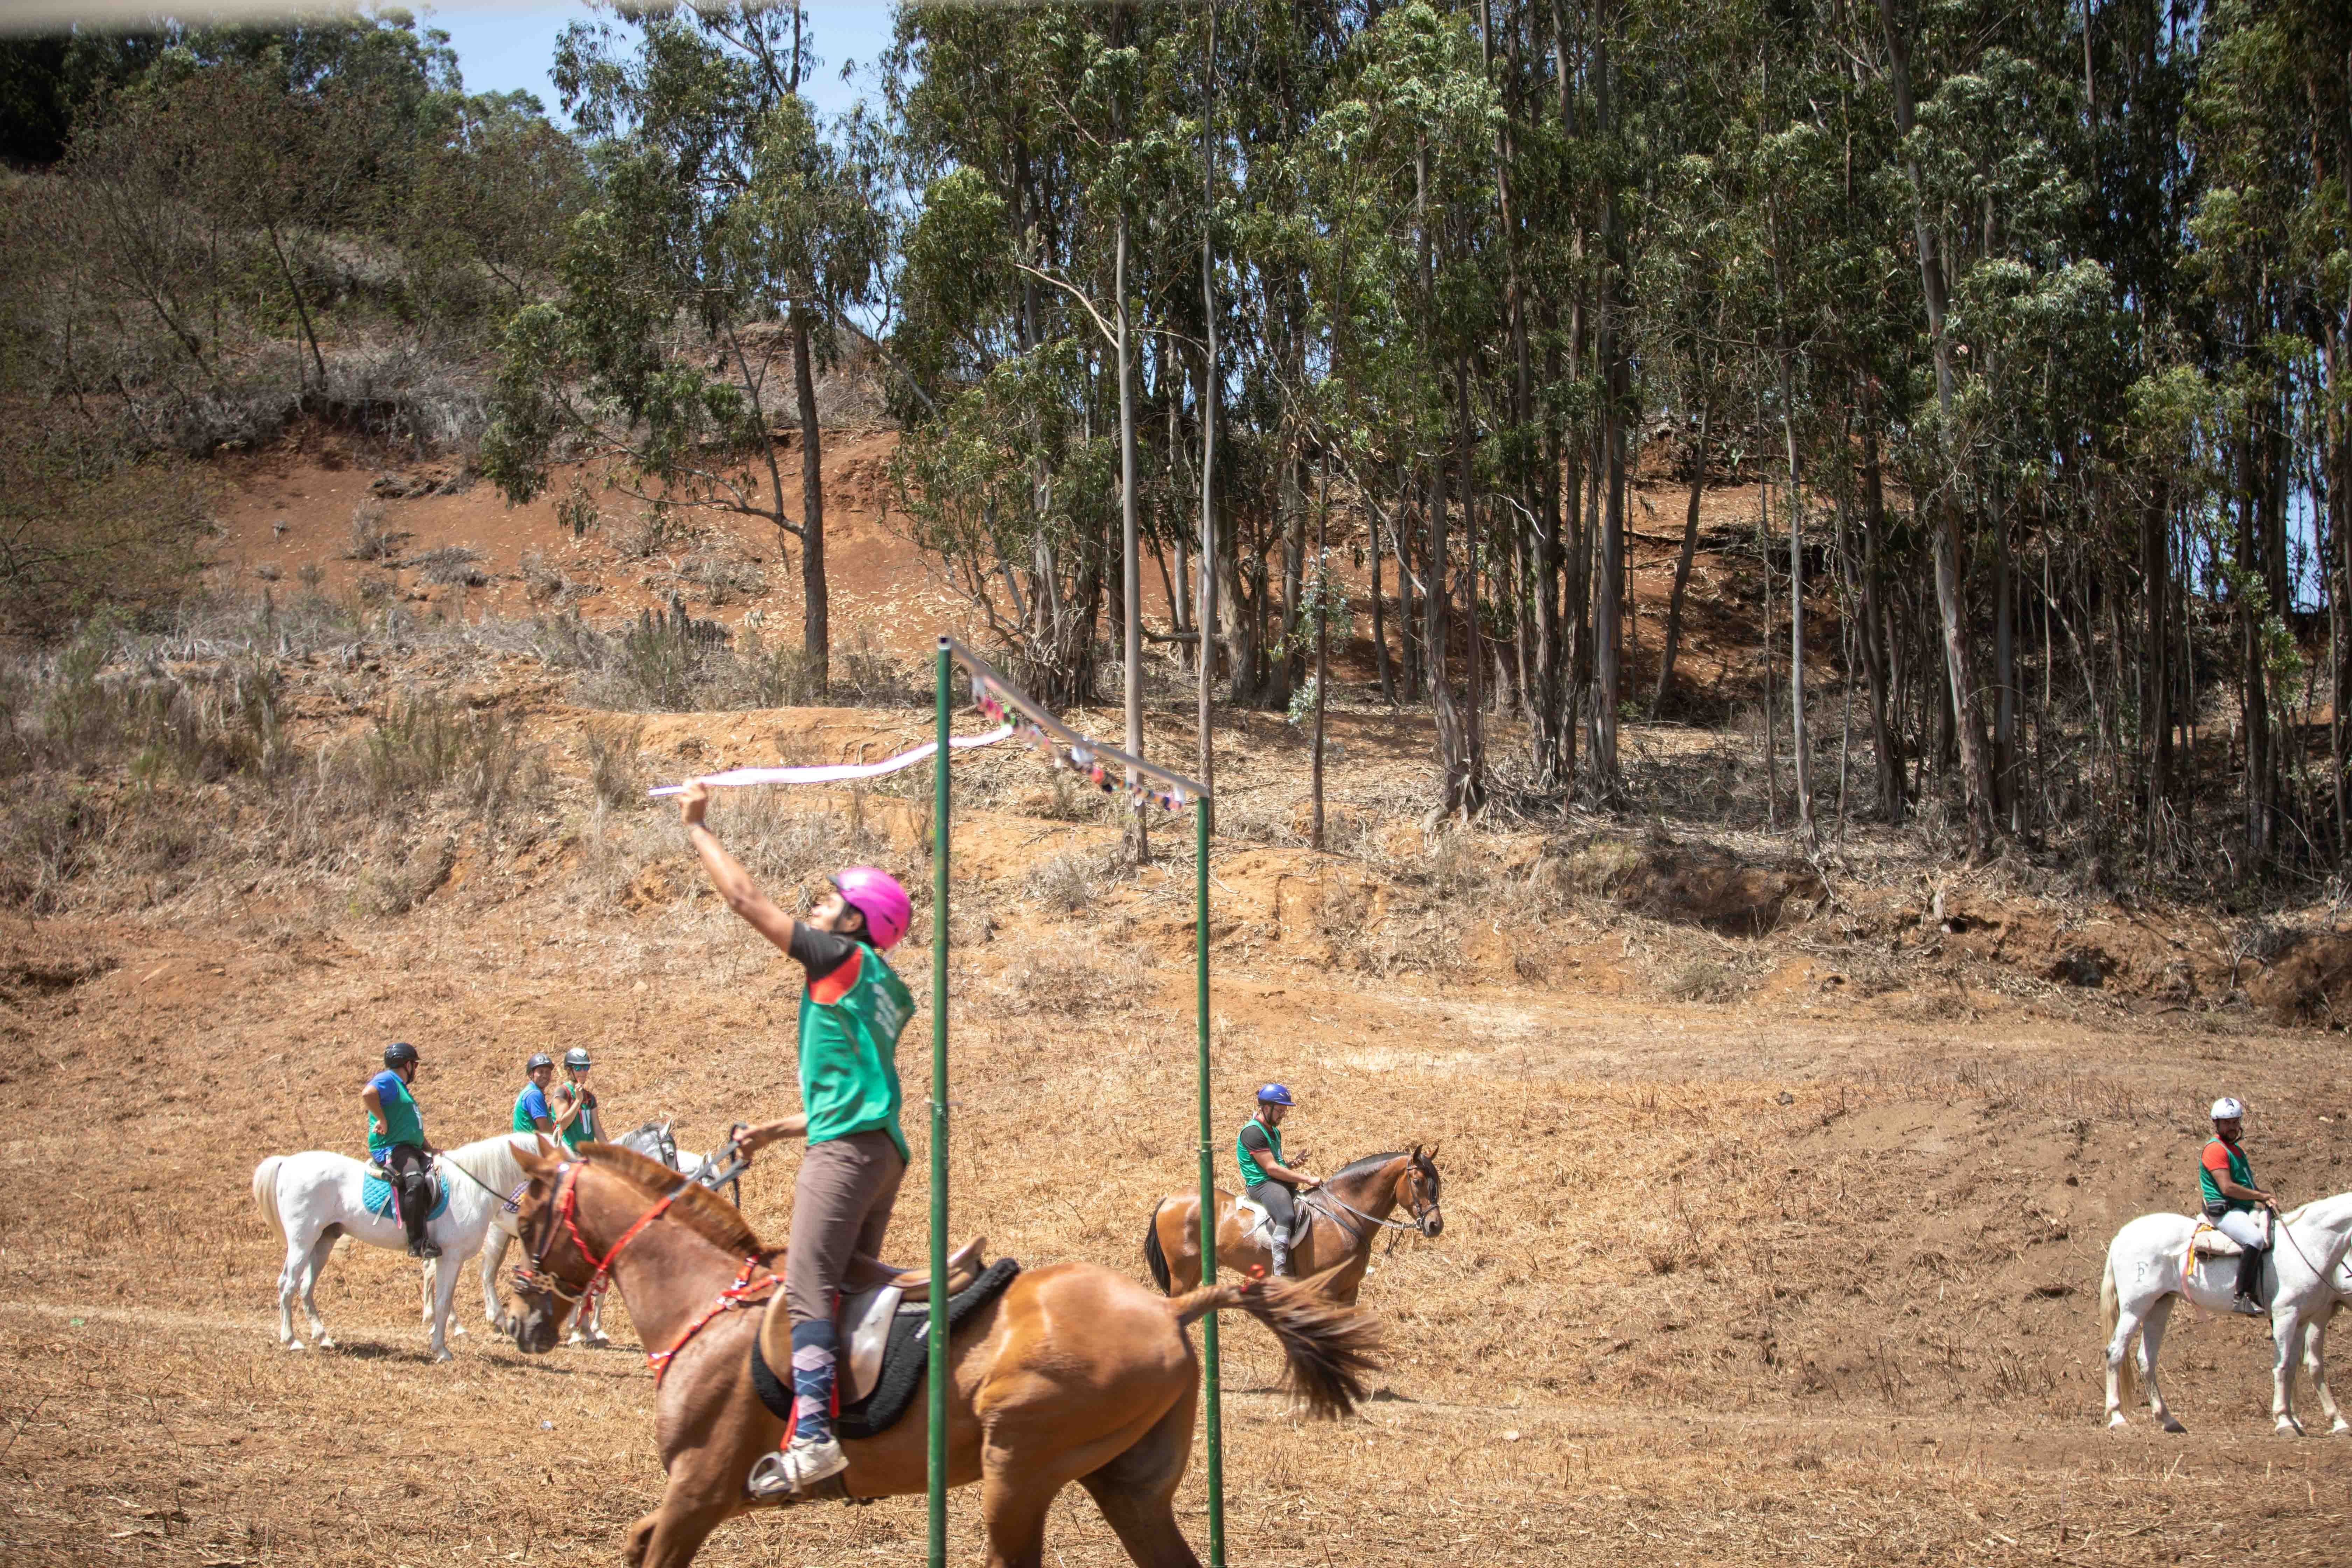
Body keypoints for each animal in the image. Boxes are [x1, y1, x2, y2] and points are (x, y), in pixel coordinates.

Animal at [501, 1142, 1373, 1568]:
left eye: (525, 1216)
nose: (523, 1318)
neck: (705, 1300)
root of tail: (1167, 1306)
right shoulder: (716, 1494)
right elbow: (637, 1539)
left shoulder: (701, 1488)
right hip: (1124, 1483)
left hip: (1018, 1468)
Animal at [1143, 1147, 1439, 1307]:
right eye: (1417, 1181)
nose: (1435, 1225)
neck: (1343, 1213)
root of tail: (1170, 1200)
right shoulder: (1324, 1289)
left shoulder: (1349, 1290)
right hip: (1182, 1272)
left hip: (1195, 1271)